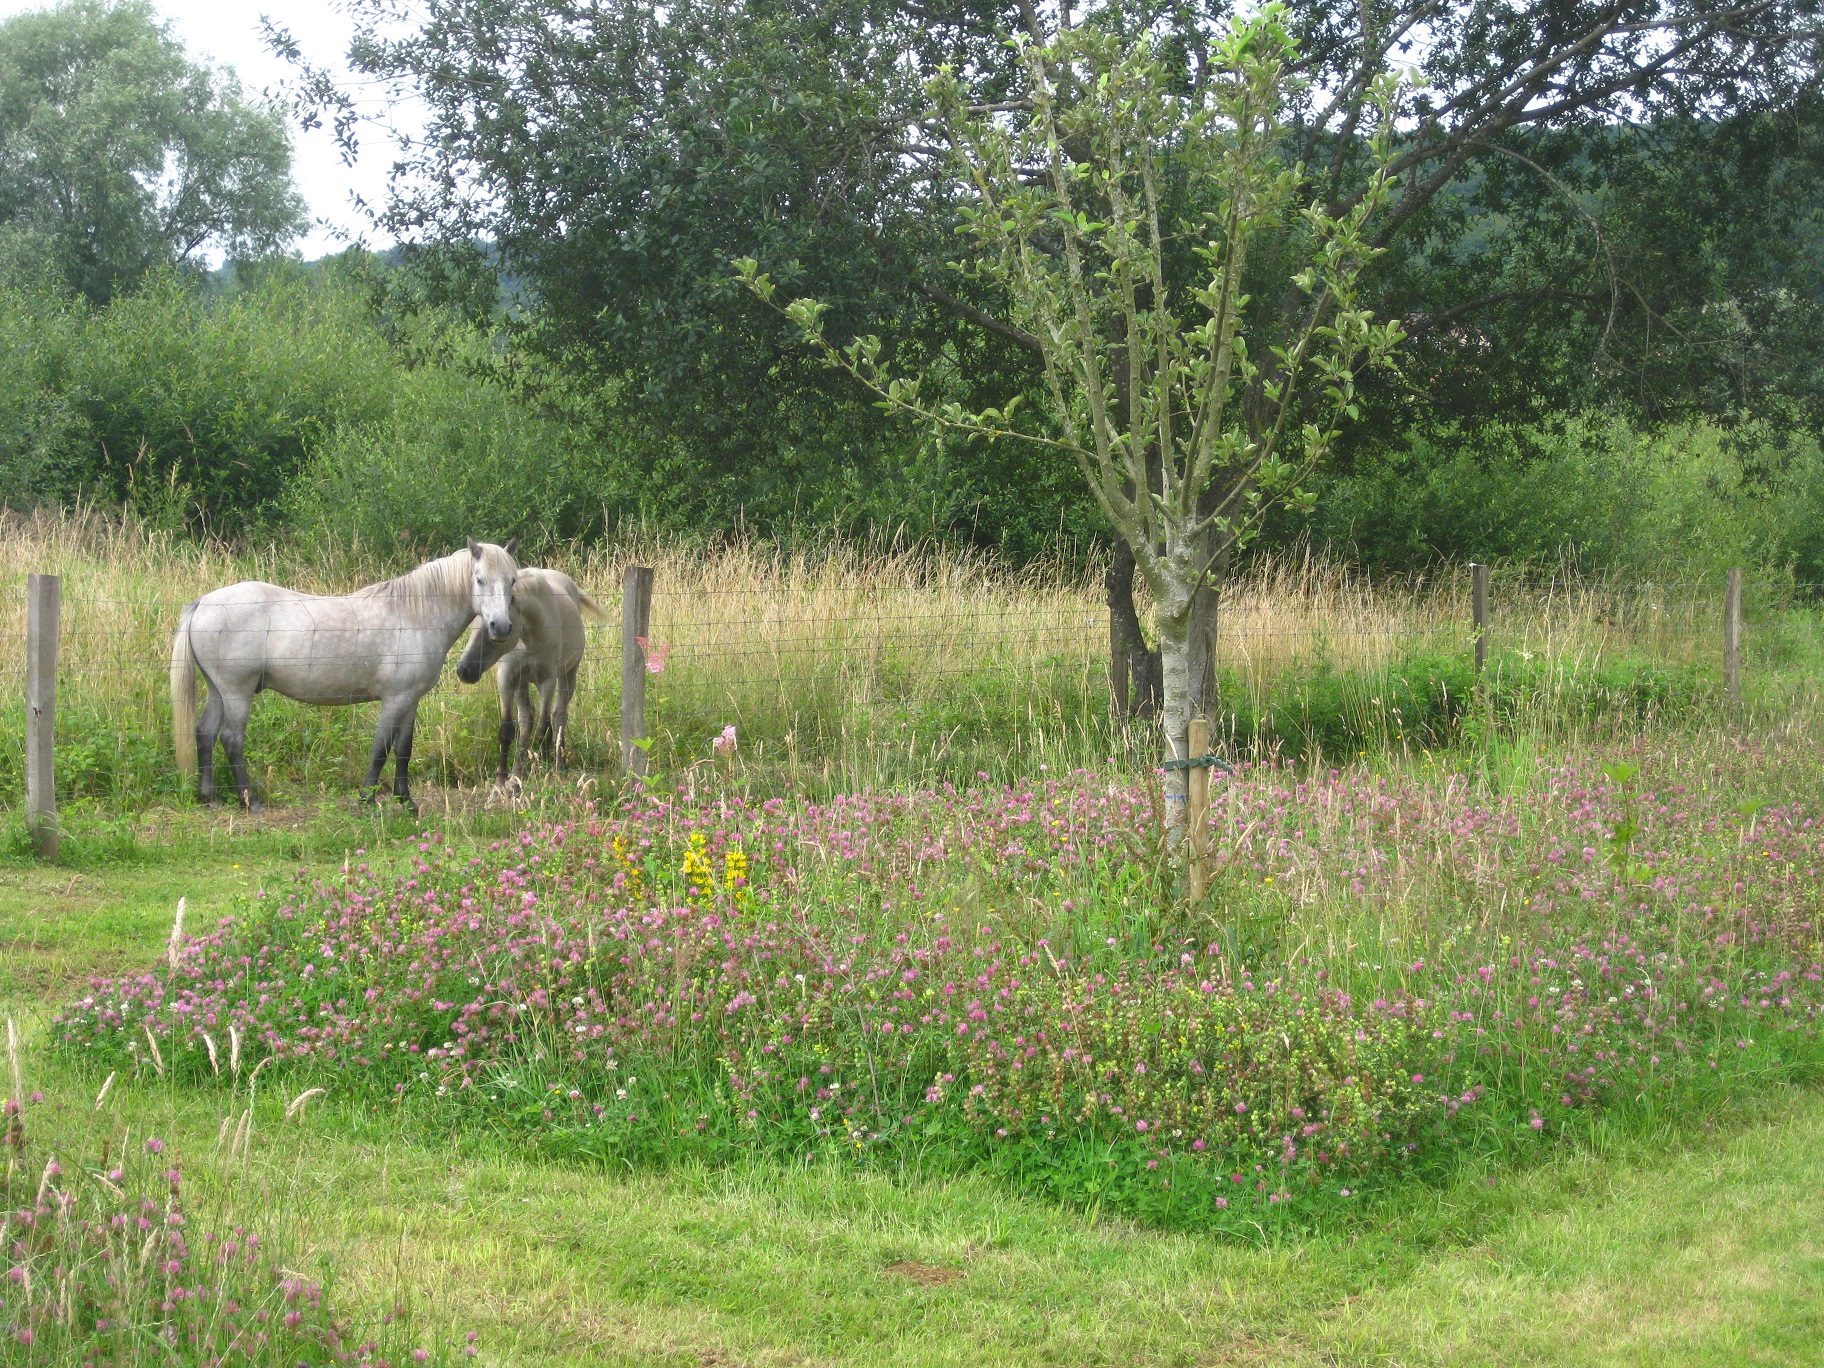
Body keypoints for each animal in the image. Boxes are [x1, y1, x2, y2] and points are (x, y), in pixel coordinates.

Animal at [171, 539, 521, 813]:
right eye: (479, 580)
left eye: (513, 581)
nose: (501, 627)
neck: (414, 615)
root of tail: (203, 602)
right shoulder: (394, 699)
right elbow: (381, 748)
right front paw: (367, 800)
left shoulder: (410, 700)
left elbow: (403, 748)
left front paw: (406, 801)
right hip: (236, 693)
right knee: (231, 739)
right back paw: (251, 801)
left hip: (218, 691)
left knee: (205, 733)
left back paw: (209, 797)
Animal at [452, 565, 601, 780]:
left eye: (495, 628)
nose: (464, 670)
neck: (530, 636)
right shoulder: (506, 678)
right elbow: (507, 731)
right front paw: (503, 779)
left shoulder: (547, 680)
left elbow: (544, 729)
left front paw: (547, 771)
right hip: (522, 683)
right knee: (526, 720)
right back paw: (518, 771)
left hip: (568, 675)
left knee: (559, 716)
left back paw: (559, 764)